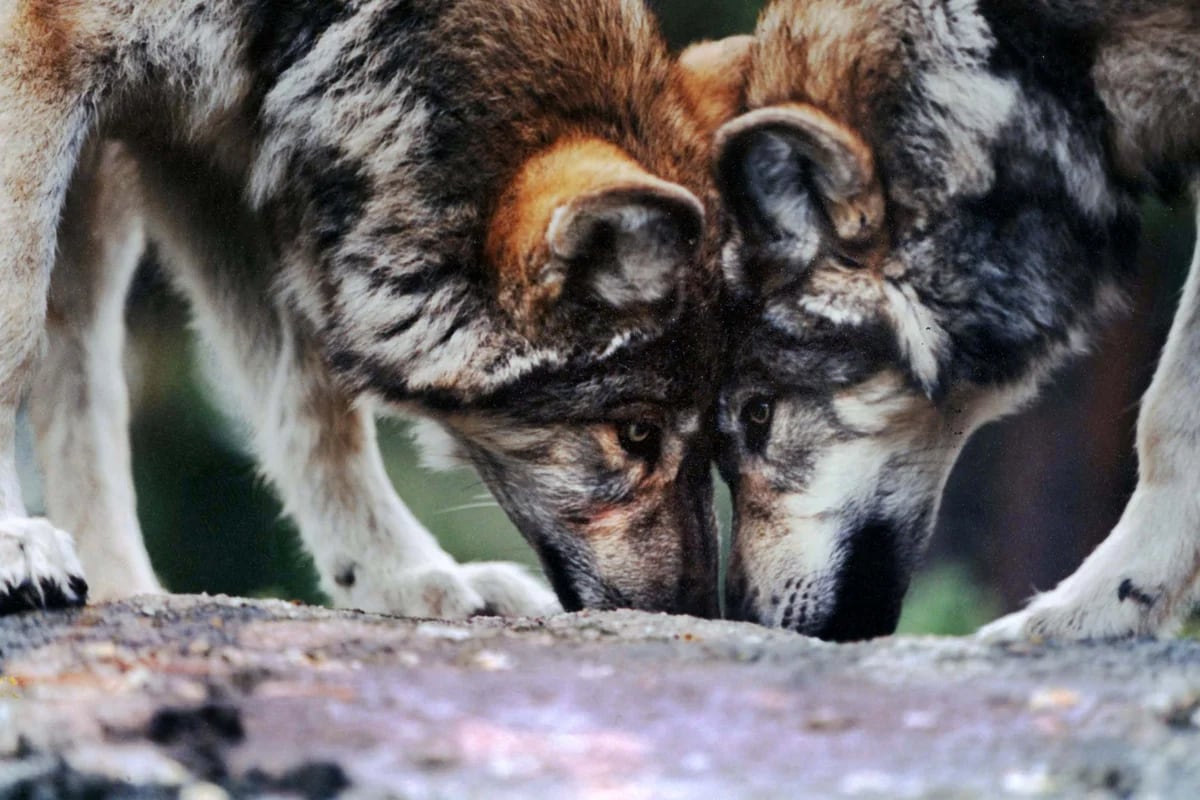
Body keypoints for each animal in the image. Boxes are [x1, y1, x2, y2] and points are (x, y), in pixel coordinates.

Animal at [2, 0, 729, 618]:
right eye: (637, 434)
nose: (696, 612)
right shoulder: (43, 53)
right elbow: (13, 344)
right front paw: (14, 542)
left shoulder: (218, 154)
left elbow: (318, 408)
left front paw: (400, 578)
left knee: (84, 382)